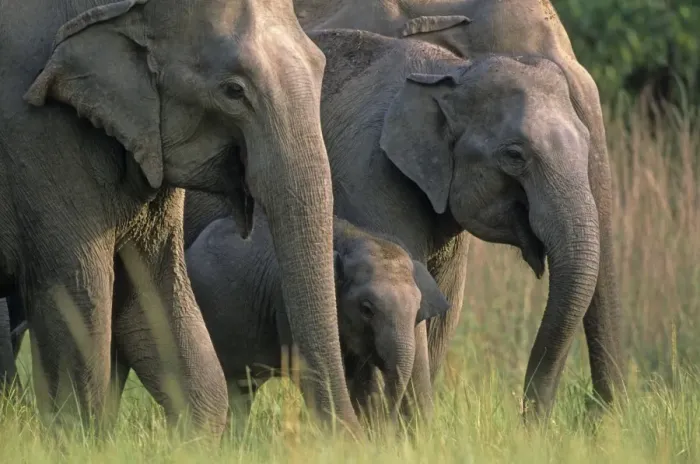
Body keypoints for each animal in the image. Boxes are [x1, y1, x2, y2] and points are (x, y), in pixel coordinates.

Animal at [0, 0, 359, 435]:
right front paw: (82, 440)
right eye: (233, 91)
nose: (351, 437)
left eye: (319, 65)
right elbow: (78, 301)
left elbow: (154, 295)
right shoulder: (42, 140)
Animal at [185, 25, 622, 423]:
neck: (451, 72)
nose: (533, 422)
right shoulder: (369, 175)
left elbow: (441, 304)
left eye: (587, 145)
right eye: (515, 155)